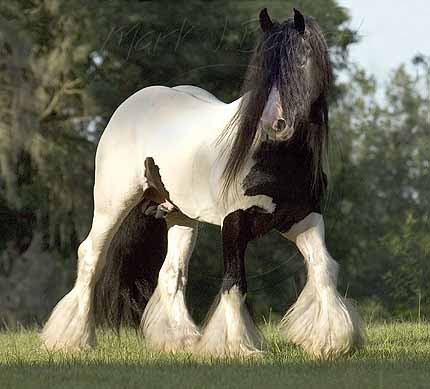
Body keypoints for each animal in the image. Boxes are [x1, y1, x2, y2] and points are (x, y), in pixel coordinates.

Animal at [41, 8, 362, 358]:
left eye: (302, 60)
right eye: (263, 67)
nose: (274, 124)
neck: (273, 155)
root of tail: (130, 105)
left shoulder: (302, 218)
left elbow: (324, 268)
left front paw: (332, 341)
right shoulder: (234, 223)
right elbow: (235, 282)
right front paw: (236, 347)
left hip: (180, 216)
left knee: (171, 273)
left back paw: (179, 342)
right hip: (113, 204)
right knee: (90, 257)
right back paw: (71, 340)